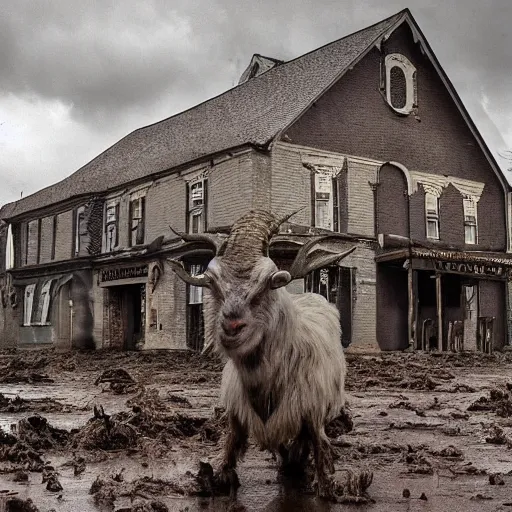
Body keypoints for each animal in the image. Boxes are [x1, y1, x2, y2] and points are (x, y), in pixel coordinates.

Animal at [168, 210, 356, 498]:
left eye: (270, 282)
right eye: (212, 282)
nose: (232, 326)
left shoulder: (312, 412)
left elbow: (319, 447)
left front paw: (325, 483)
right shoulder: (237, 413)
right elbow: (232, 445)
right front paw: (218, 477)